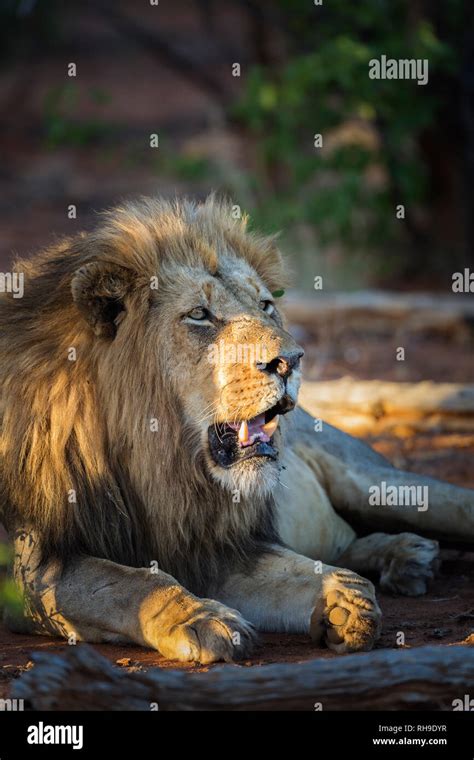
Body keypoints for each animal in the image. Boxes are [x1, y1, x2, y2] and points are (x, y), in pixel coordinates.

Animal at [0, 196, 472, 664]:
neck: (158, 464)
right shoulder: (36, 570)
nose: (291, 361)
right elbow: (133, 583)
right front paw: (202, 619)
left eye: (264, 305)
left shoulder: (219, 546)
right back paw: (406, 556)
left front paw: (345, 600)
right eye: (199, 315)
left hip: (378, 484)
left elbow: (298, 571)